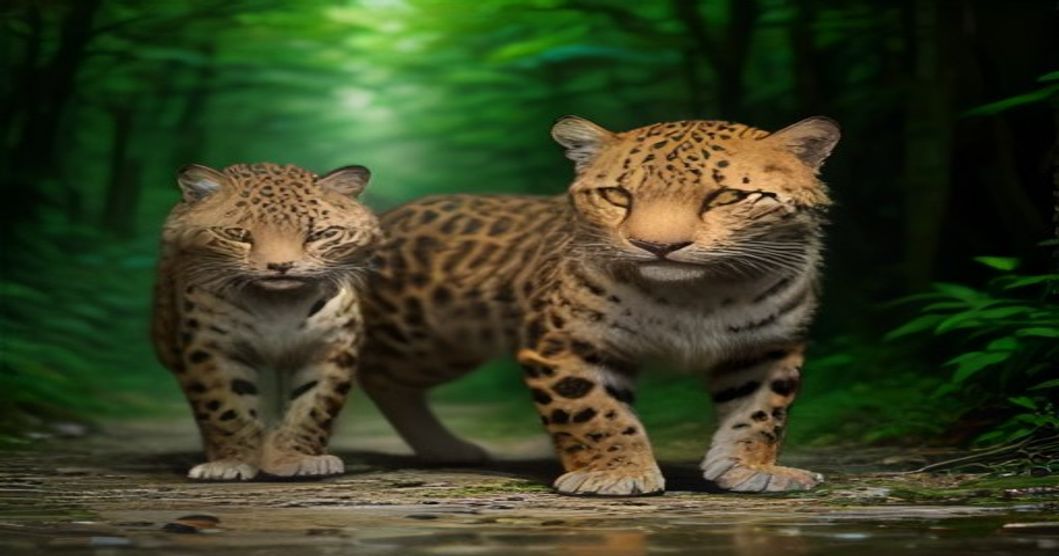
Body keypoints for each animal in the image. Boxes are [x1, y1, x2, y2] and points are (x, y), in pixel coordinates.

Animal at [151, 162, 382, 481]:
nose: (281, 267)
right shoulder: (211, 347)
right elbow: (225, 408)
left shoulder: (332, 345)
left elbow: (313, 406)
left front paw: (296, 458)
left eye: (318, 235)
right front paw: (231, 462)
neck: (277, 304)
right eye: (238, 234)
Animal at [359, 115, 840, 496]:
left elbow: (762, 412)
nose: (658, 247)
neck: (696, 296)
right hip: (421, 336)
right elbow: (593, 412)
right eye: (617, 196)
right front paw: (613, 473)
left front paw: (751, 467)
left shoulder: (768, 347)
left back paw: (445, 448)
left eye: (725, 198)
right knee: (375, 373)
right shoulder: (567, 343)